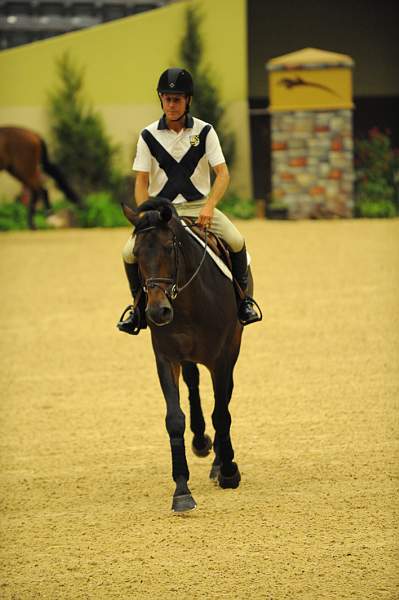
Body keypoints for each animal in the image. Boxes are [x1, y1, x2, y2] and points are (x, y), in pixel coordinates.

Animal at [122, 199, 244, 512]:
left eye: (169, 247)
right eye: (136, 254)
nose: (157, 311)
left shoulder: (221, 358)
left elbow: (221, 413)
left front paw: (229, 472)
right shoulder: (167, 359)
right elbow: (174, 418)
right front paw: (181, 490)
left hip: (232, 350)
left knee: (224, 399)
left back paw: (219, 463)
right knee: (194, 384)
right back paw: (201, 442)